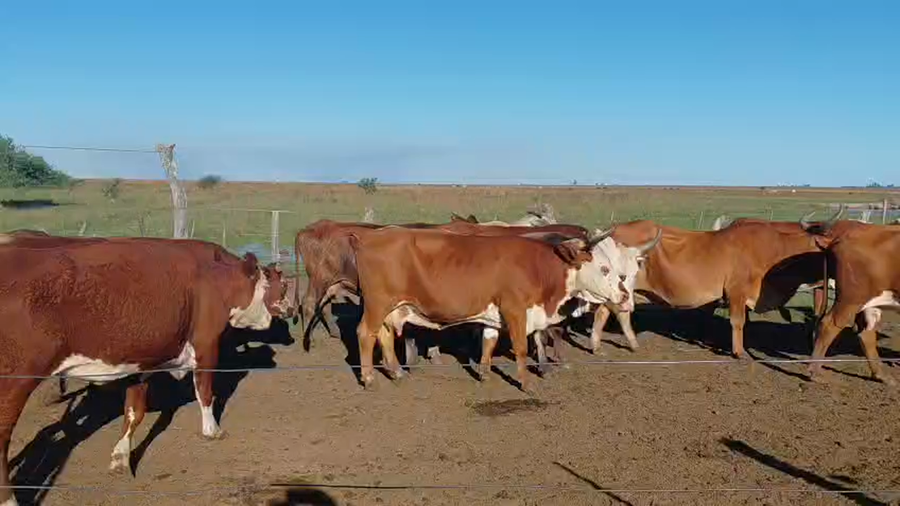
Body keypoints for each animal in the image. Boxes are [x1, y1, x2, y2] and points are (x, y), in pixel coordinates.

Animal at [0, 236, 289, 506]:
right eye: (284, 285)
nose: (289, 309)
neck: (214, 276)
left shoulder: (142, 360)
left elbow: (134, 411)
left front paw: (121, 458)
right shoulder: (206, 343)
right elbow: (205, 391)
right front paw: (212, 430)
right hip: (15, 382)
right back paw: (9, 498)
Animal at [347, 227, 656, 392]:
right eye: (604, 268)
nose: (624, 295)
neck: (539, 266)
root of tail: (369, 238)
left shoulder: (493, 313)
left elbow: (489, 341)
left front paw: (484, 373)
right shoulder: (516, 310)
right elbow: (520, 348)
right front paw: (526, 383)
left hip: (391, 307)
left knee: (384, 336)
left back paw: (396, 372)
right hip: (377, 304)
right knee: (365, 334)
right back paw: (369, 378)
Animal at [587, 208, 844, 360]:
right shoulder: (738, 292)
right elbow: (738, 322)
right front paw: (739, 352)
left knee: (606, 312)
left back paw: (607, 345)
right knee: (614, 312)